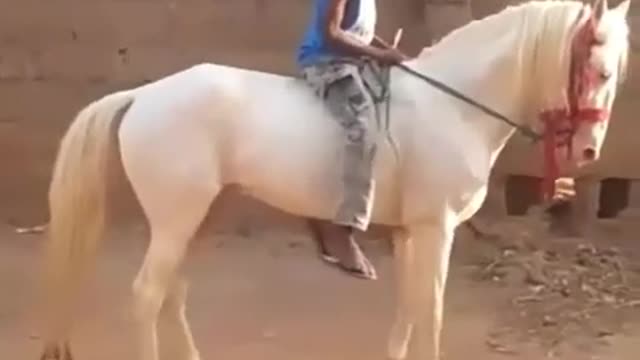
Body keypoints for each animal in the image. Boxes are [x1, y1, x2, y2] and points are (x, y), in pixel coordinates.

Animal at [41, 0, 632, 360]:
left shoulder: (411, 233)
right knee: (146, 296)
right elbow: (431, 312)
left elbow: (408, 311)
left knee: (173, 293)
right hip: (175, 219)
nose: (588, 150)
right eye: (602, 71)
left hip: (200, 216)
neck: (452, 104)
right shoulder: (435, 229)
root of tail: (143, 95)